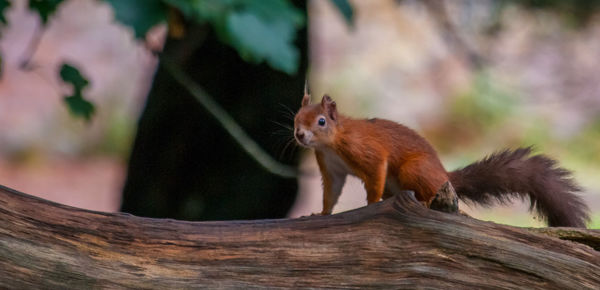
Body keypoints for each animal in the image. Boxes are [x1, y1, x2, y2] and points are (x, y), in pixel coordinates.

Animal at [296, 92, 592, 228]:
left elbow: (376, 173)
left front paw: (371, 205)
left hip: (413, 170)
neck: (332, 143)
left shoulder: (367, 151)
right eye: (297, 118)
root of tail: (444, 175)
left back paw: (429, 202)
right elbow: (331, 192)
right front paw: (321, 213)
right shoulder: (331, 168)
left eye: (321, 121)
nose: (299, 135)